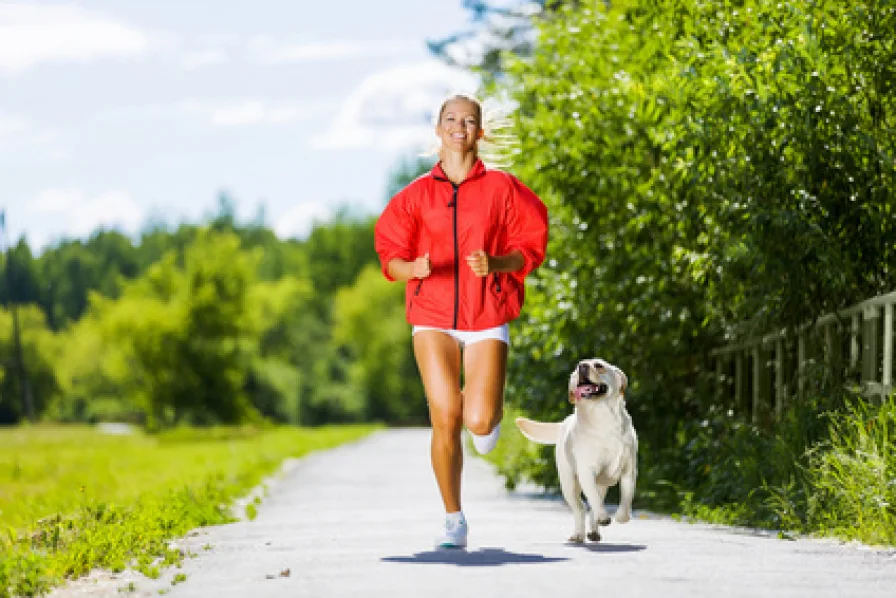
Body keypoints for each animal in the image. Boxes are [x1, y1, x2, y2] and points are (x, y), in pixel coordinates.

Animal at [512, 358, 636, 548]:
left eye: (599, 365)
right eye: (577, 369)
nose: (582, 365)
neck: (603, 418)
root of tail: (565, 421)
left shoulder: (629, 471)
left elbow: (626, 499)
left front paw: (622, 517)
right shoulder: (587, 472)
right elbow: (594, 501)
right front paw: (603, 517)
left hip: (601, 484)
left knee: (593, 504)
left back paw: (594, 531)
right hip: (568, 484)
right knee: (581, 508)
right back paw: (579, 534)